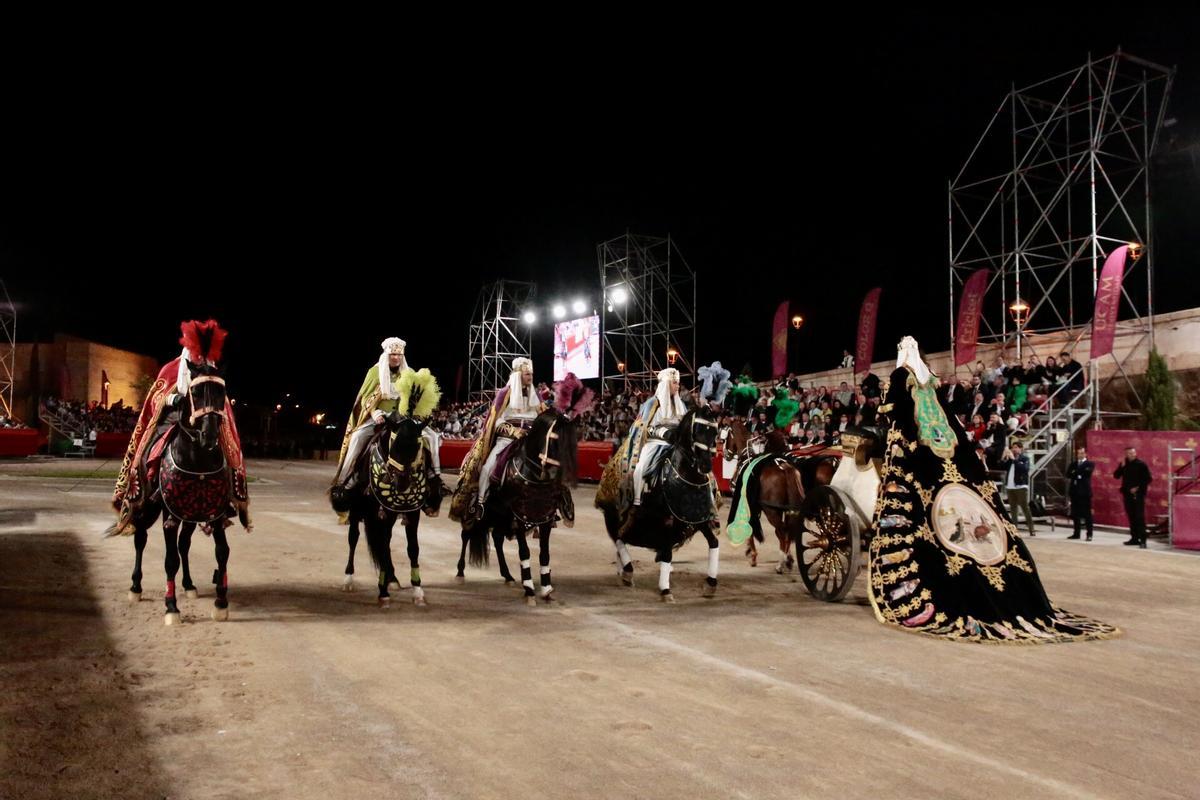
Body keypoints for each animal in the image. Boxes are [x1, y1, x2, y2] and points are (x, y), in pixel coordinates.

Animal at [123, 362, 242, 623]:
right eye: (195, 393)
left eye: (221, 393)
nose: (209, 436)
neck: (198, 459)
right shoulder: (170, 517)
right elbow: (170, 560)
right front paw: (171, 606)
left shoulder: (214, 514)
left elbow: (222, 552)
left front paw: (221, 603)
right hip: (148, 508)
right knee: (141, 539)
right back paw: (135, 587)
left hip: (189, 515)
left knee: (184, 544)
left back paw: (188, 585)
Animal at [333, 412, 441, 606]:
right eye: (394, 445)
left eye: (417, 447)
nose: (402, 484)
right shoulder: (380, 513)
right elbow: (381, 546)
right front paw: (383, 593)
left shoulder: (412, 513)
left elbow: (412, 548)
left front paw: (417, 591)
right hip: (357, 508)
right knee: (354, 538)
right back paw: (349, 580)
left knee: (386, 543)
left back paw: (391, 579)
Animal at [453, 410, 576, 604]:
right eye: (555, 440)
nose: (562, 478)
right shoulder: (519, 517)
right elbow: (524, 552)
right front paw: (529, 590)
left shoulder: (545, 517)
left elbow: (544, 553)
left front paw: (546, 589)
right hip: (474, 514)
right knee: (466, 536)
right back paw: (460, 572)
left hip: (501, 516)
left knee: (497, 538)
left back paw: (508, 576)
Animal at [595, 410, 715, 604]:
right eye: (696, 430)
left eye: (716, 432)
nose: (706, 465)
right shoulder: (666, 523)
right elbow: (667, 553)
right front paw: (666, 590)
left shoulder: (698, 519)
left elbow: (714, 543)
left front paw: (711, 584)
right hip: (613, 515)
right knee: (618, 537)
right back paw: (627, 571)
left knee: (620, 538)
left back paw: (623, 571)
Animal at [720, 422, 835, 573]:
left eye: (725, 438)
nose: (725, 454)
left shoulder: (749, 503)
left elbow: (752, 528)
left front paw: (752, 554)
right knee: (788, 530)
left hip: (772, 510)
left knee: (782, 530)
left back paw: (781, 563)